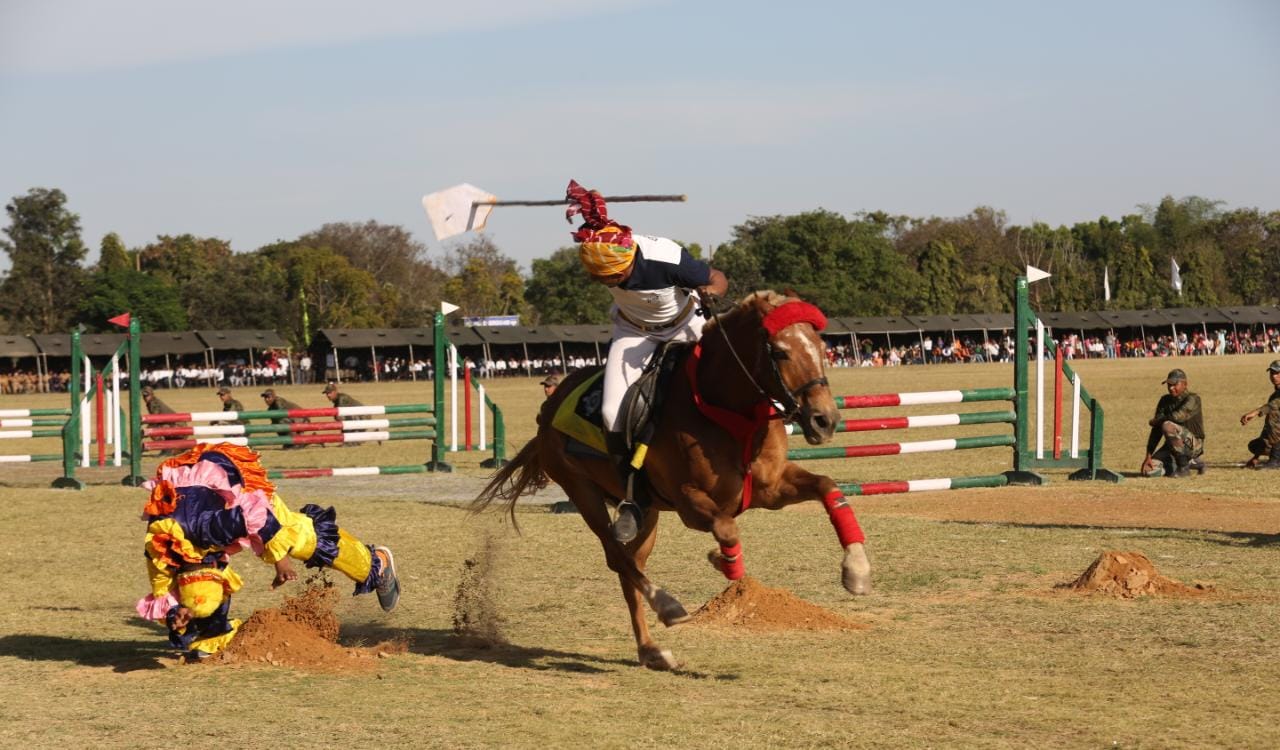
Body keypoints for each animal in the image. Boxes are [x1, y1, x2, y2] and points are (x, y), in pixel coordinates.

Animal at [476, 290, 875, 665]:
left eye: (822, 348)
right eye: (779, 352)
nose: (825, 420)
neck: (725, 410)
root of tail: (549, 406)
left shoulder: (772, 487)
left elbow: (829, 487)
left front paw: (856, 570)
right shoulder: (689, 502)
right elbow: (727, 529)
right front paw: (721, 560)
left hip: (646, 511)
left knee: (630, 565)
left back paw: (651, 651)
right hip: (582, 491)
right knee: (617, 557)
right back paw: (666, 605)